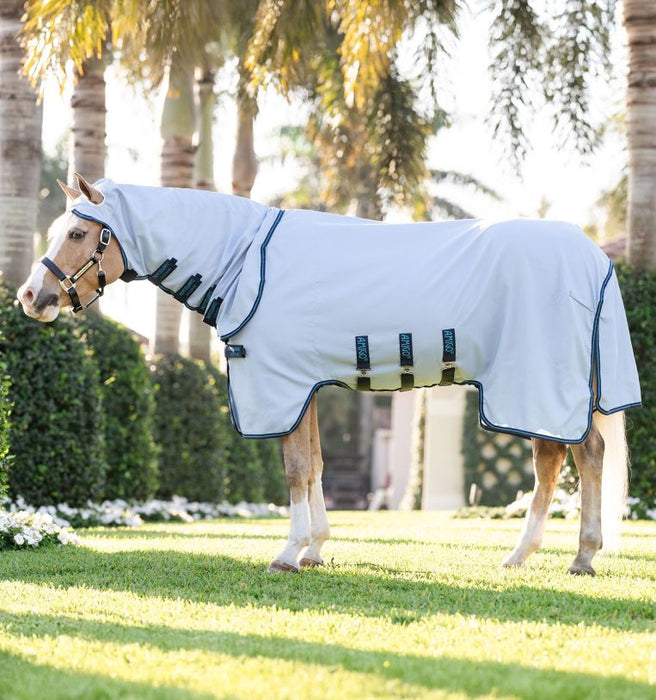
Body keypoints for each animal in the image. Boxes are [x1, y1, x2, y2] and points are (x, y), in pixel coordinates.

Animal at [17, 173, 641, 576]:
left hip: (534, 383)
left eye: (77, 234)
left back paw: (566, 556)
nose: (30, 297)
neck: (247, 260)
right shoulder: (306, 388)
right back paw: (549, 556)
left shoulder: (283, 386)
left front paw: (287, 555)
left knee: (565, 459)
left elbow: (295, 471)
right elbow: (314, 465)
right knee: (572, 459)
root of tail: (594, 257)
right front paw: (315, 549)